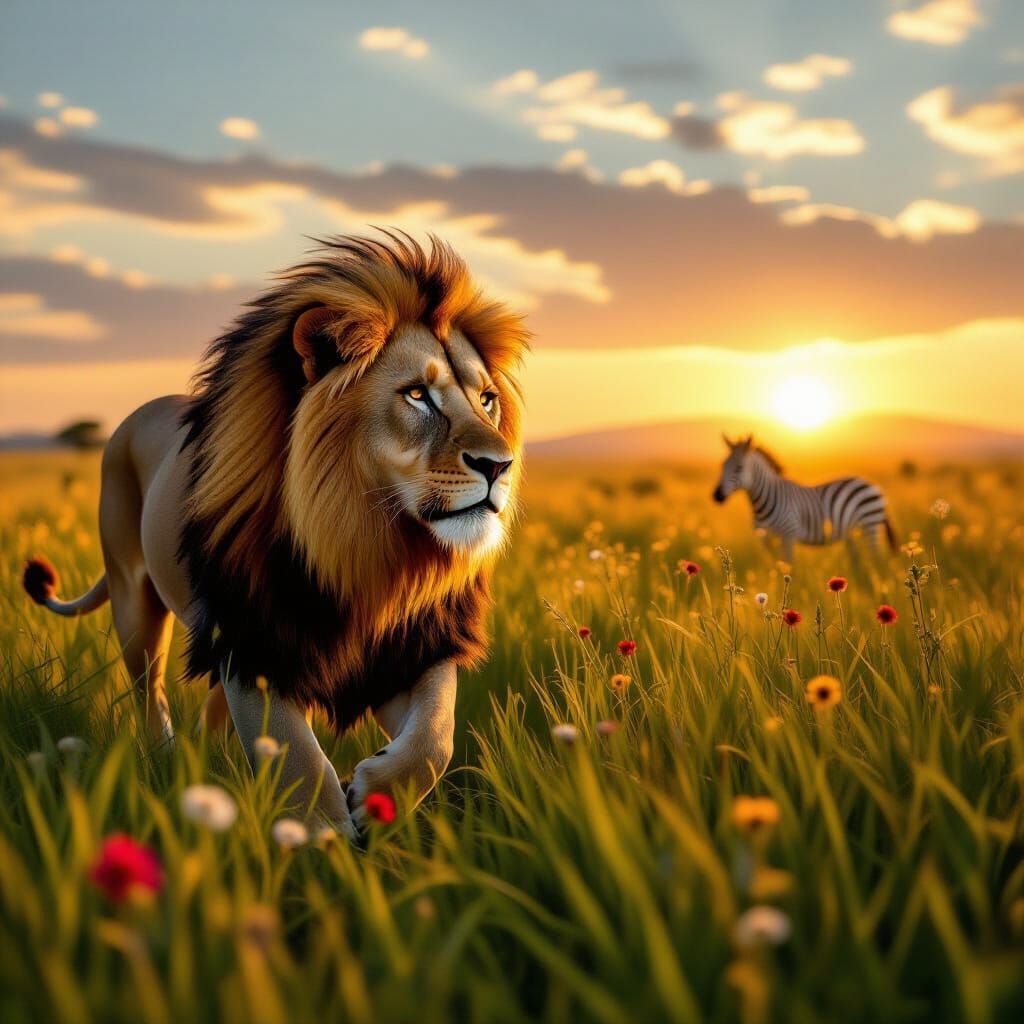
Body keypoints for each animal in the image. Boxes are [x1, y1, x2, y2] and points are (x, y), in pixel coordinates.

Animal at [23, 232, 528, 838]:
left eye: (486, 399)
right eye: (415, 395)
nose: (500, 465)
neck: (366, 544)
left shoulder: (406, 649)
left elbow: (435, 734)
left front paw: (374, 794)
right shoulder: (256, 641)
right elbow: (299, 759)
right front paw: (323, 840)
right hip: (135, 601)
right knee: (151, 694)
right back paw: (168, 766)